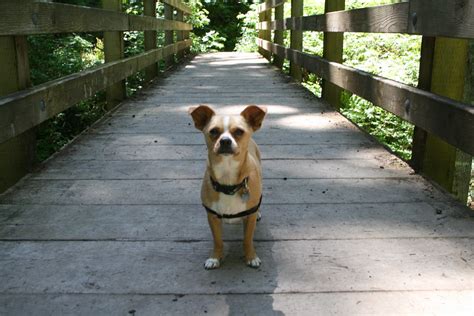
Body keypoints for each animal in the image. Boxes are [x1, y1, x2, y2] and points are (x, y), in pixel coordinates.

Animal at [191, 105, 268, 268]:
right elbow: (218, 241)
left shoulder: (249, 219)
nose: (225, 140)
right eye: (213, 131)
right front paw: (215, 257)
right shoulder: (212, 217)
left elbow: (247, 239)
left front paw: (251, 256)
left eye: (239, 131)